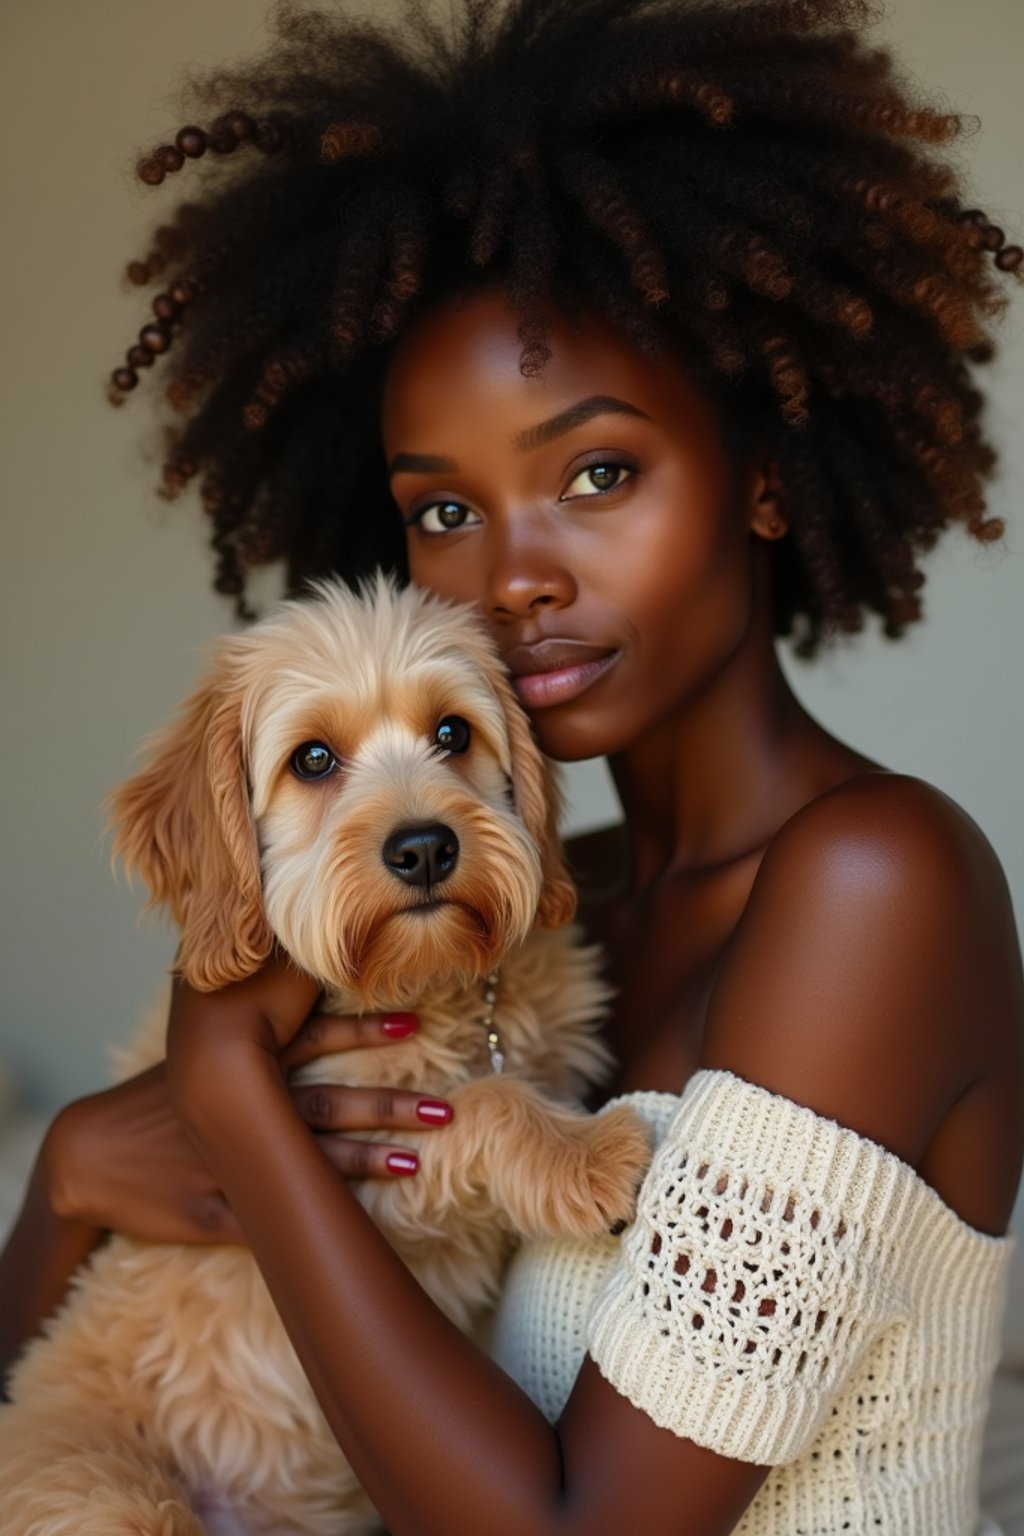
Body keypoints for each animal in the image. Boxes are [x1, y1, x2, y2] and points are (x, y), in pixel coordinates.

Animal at [0, 577, 654, 1536]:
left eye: (453, 733)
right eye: (311, 760)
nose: (425, 847)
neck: (427, 987)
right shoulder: (346, 1160)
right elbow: (481, 1103)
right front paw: (584, 1154)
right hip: (108, 1495)